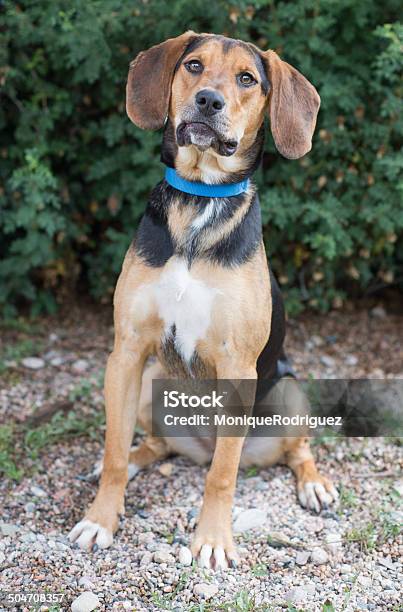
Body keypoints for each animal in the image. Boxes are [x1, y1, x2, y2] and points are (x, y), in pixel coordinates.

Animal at [68, 32, 338, 568]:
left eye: (247, 79)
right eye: (193, 65)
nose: (208, 101)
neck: (199, 201)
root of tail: (198, 445)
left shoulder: (238, 366)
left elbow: (222, 476)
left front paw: (212, 540)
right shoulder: (126, 351)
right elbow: (113, 450)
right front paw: (100, 519)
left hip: (289, 391)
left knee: (292, 452)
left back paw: (314, 485)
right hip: (151, 381)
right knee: (152, 446)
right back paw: (137, 460)